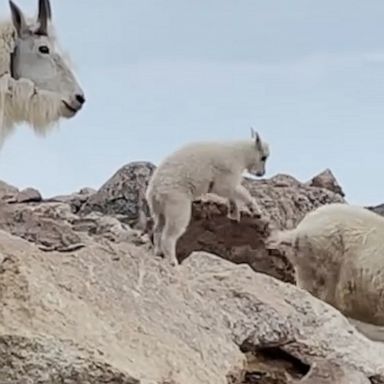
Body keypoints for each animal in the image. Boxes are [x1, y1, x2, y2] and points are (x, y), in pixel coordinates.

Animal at [145, 129, 270, 268]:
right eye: (263, 157)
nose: (261, 173)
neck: (240, 154)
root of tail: (155, 191)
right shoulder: (225, 177)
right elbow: (239, 191)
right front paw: (256, 211)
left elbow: (231, 195)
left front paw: (234, 214)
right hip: (176, 204)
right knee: (169, 235)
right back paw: (172, 261)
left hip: (159, 210)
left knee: (157, 229)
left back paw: (158, 253)